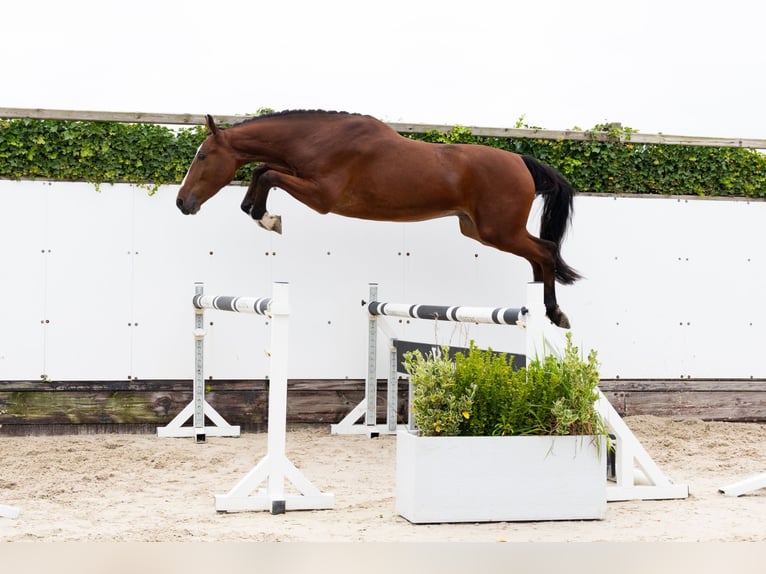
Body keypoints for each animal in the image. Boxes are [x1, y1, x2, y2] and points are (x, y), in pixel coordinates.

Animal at [176, 110, 581, 328]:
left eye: (202, 157)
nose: (182, 203)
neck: (317, 138)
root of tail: (521, 161)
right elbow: (263, 171)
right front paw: (259, 212)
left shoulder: (322, 196)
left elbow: (269, 174)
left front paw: (268, 218)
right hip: (480, 230)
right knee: (537, 256)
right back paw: (540, 306)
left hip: (499, 230)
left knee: (545, 250)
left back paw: (554, 312)